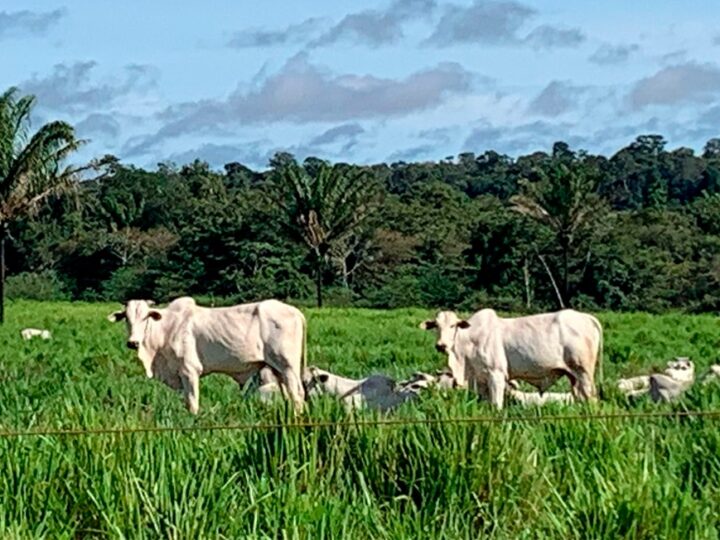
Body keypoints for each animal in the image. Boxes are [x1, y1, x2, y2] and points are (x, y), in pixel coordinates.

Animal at [108, 297, 307, 414]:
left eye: (145, 317)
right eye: (126, 318)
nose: (132, 342)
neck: (166, 328)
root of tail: (296, 311)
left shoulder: (189, 371)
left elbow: (192, 403)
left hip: (288, 366)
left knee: (298, 394)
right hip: (277, 368)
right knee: (288, 394)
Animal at [420, 309, 603, 409]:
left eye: (453, 325)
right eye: (436, 326)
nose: (441, 345)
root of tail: (587, 317)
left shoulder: (496, 374)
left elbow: (496, 405)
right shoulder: (480, 380)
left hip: (583, 372)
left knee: (591, 397)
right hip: (573, 376)